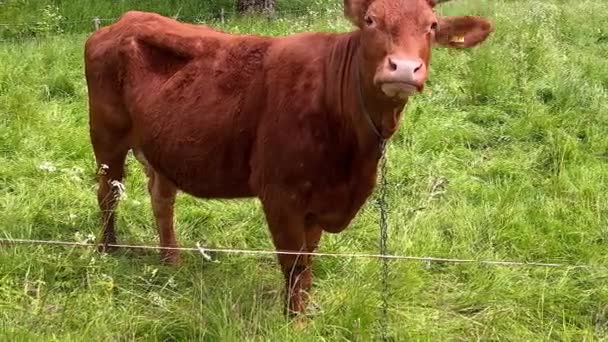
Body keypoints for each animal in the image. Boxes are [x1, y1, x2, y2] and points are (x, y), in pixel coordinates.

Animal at [85, 0, 492, 316]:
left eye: (431, 26)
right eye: (370, 20)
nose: (404, 68)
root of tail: (126, 20)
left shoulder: (321, 200)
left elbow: (308, 259)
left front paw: (304, 310)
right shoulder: (280, 193)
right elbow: (294, 262)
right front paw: (293, 320)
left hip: (161, 147)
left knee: (161, 199)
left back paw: (172, 259)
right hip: (106, 137)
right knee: (108, 192)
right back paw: (108, 249)